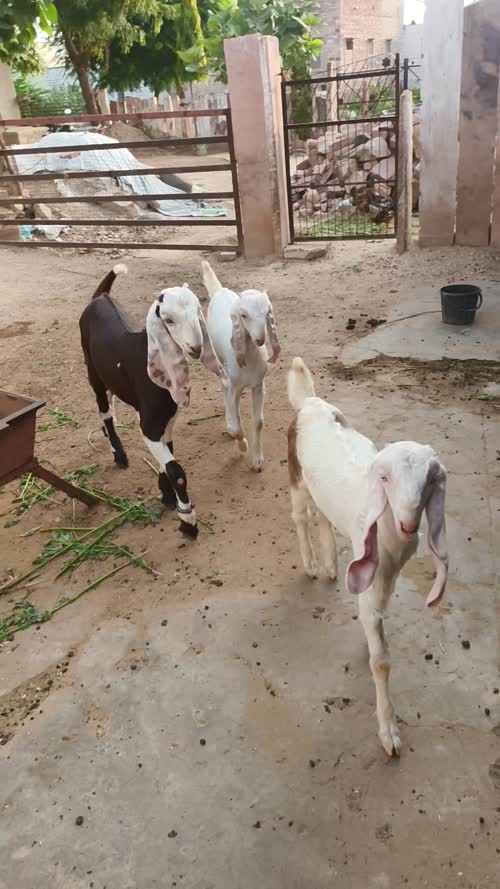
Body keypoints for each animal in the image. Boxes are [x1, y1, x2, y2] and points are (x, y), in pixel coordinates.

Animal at [79, 265, 226, 537]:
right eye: (168, 320)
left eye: (197, 310)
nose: (195, 348)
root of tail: (100, 296)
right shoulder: (149, 427)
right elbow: (177, 471)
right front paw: (188, 521)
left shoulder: (168, 420)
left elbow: (169, 455)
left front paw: (166, 494)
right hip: (92, 368)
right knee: (104, 408)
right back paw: (118, 453)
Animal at [201, 261, 280, 470]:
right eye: (243, 315)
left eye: (267, 313)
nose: (260, 339)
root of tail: (219, 290)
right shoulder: (236, 387)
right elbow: (237, 427)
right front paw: (241, 444)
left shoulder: (258, 385)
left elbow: (258, 422)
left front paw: (257, 460)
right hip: (217, 356)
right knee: (223, 383)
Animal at [287, 357, 448, 756]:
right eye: (385, 478)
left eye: (430, 479)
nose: (408, 523)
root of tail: (309, 402)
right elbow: (381, 662)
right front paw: (388, 732)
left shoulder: (384, 578)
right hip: (295, 476)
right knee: (300, 515)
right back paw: (311, 565)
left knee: (323, 516)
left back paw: (331, 566)